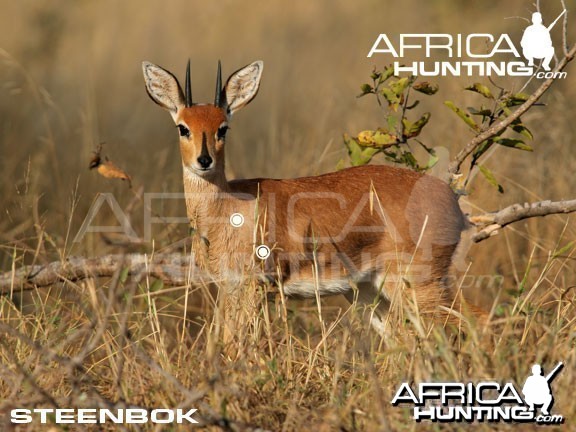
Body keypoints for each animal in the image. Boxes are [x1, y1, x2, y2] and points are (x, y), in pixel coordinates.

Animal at [142, 59, 484, 332]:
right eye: (183, 127)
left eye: (223, 127)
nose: (204, 160)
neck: (228, 208)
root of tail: (453, 201)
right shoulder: (230, 289)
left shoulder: (252, 289)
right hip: (372, 292)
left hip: (419, 285)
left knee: (478, 321)